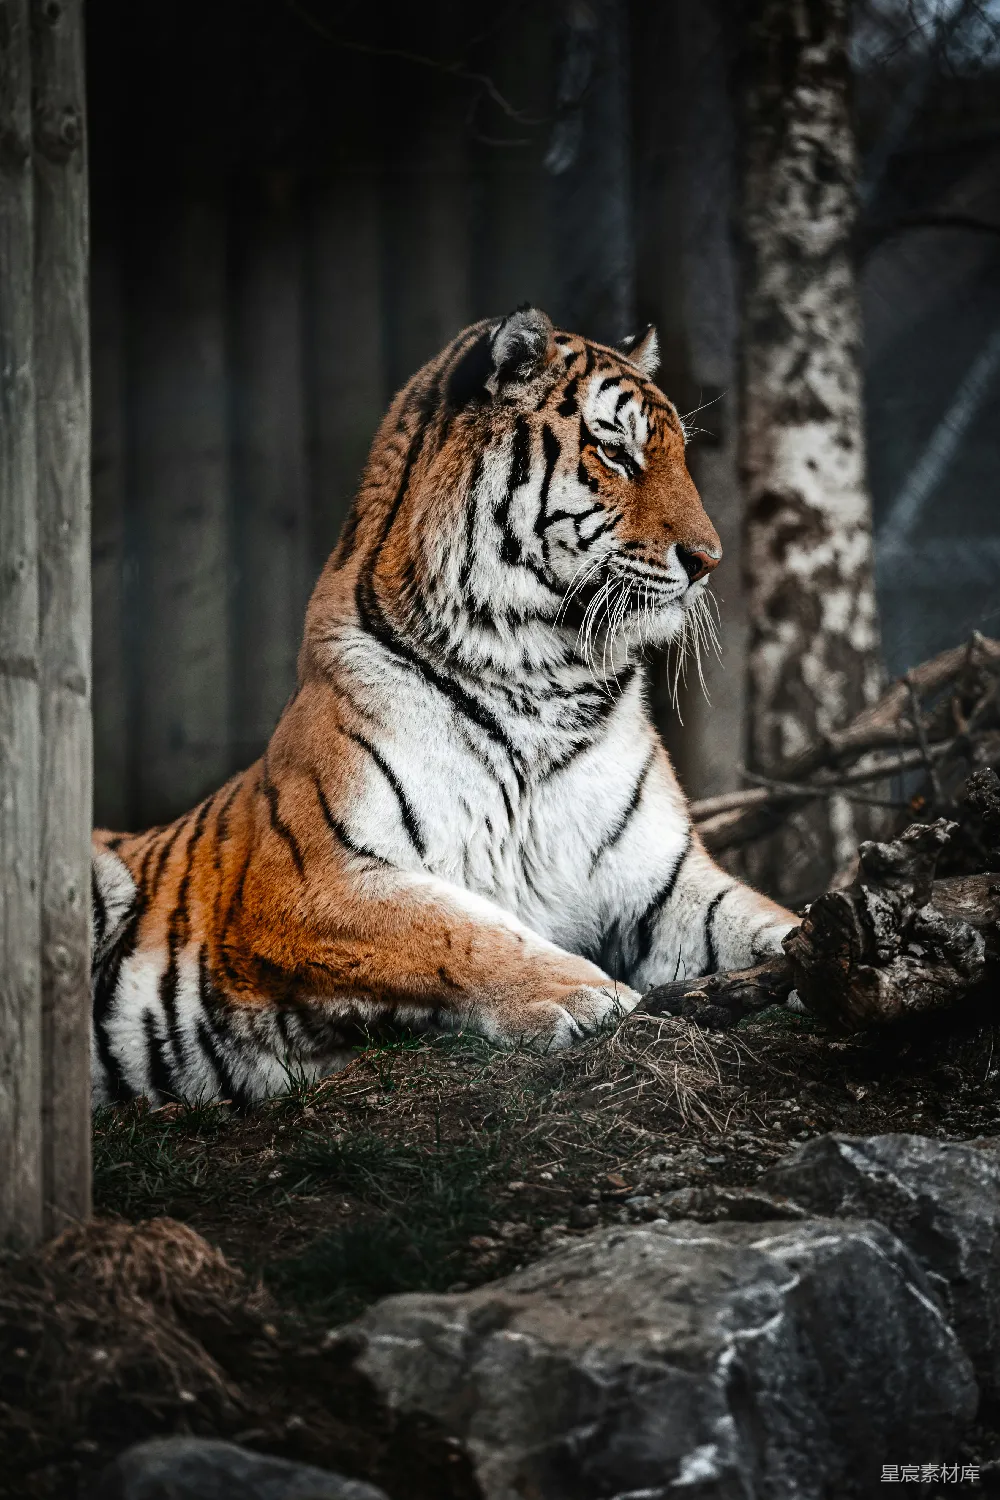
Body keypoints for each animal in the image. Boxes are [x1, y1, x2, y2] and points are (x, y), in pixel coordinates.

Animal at [90, 306, 796, 1108]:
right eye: (615, 452)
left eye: (677, 452)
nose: (709, 561)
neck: (545, 677)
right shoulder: (308, 879)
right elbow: (458, 930)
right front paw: (585, 995)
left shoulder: (662, 883)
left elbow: (764, 919)